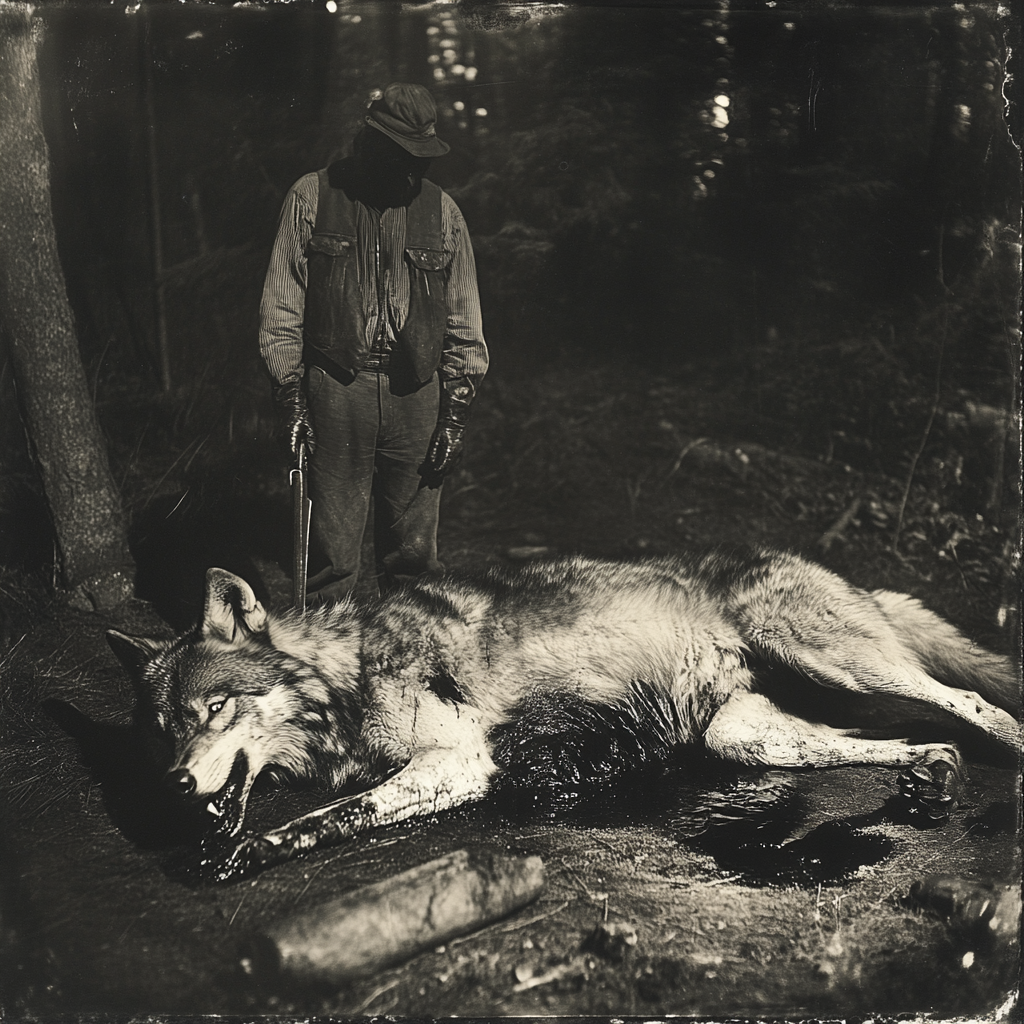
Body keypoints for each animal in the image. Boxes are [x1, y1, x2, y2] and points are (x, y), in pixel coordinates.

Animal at [103, 548, 1015, 884]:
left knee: (972, 702)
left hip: (829, 661)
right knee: (902, 740)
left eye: (215, 706)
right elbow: (325, 815)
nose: (176, 784)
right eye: (164, 727)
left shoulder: (460, 763)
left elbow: (333, 815)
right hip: (749, 740)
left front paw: (247, 850)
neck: (347, 671)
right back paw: (931, 776)